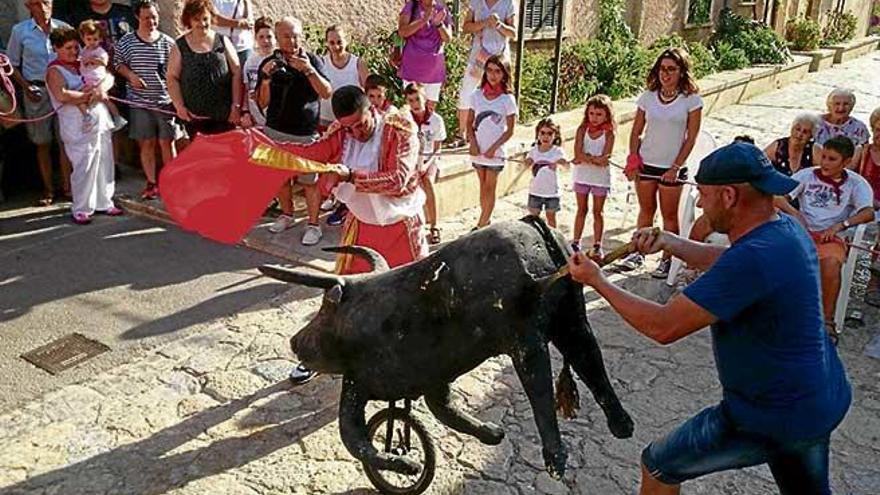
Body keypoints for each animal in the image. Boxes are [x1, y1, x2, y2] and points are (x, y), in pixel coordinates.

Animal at [260, 218, 632, 480]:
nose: (295, 342)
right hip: (570, 317)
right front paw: (493, 435)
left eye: (325, 308)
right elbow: (440, 411)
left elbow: (354, 438)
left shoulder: (360, 383)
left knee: (541, 388)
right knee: (590, 359)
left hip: (526, 339)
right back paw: (622, 426)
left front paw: (409, 466)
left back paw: (557, 460)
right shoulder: (429, 381)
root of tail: (534, 227)